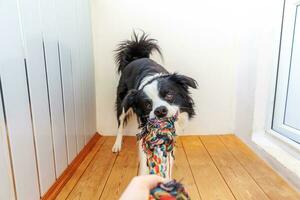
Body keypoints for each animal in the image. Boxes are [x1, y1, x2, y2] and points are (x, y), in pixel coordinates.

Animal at [112, 32, 197, 177]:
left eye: (169, 95)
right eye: (147, 104)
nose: (160, 110)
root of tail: (135, 58)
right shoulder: (144, 131)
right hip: (122, 103)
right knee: (120, 123)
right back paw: (117, 145)